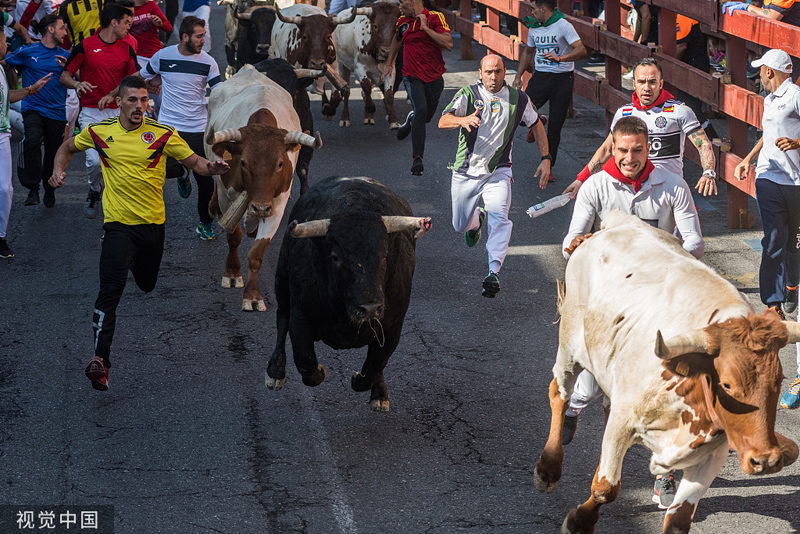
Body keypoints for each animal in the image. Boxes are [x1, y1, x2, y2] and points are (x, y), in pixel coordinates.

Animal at [203, 65, 322, 312]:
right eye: (243, 162)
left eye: (280, 164)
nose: (259, 208)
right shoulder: (227, 196)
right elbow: (234, 237)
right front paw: (232, 274)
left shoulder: (277, 204)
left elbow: (257, 253)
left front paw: (253, 297)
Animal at [268, 178, 432, 412]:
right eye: (335, 257)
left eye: (384, 255)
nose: (369, 308)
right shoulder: (299, 315)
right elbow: (305, 360)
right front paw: (320, 371)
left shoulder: (394, 325)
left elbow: (375, 364)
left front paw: (365, 383)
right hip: (281, 280)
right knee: (281, 318)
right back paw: (275, 372)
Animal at [536, 213, 800, 534]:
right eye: (726, 384)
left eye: (779, 381)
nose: (766, 460)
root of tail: (618, 221)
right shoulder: (624, 421)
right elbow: (605, 489)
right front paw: (579, 522)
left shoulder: (712, 453)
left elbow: (678, 519)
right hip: (570, 345)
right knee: (559, 393)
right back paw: (547, 470)